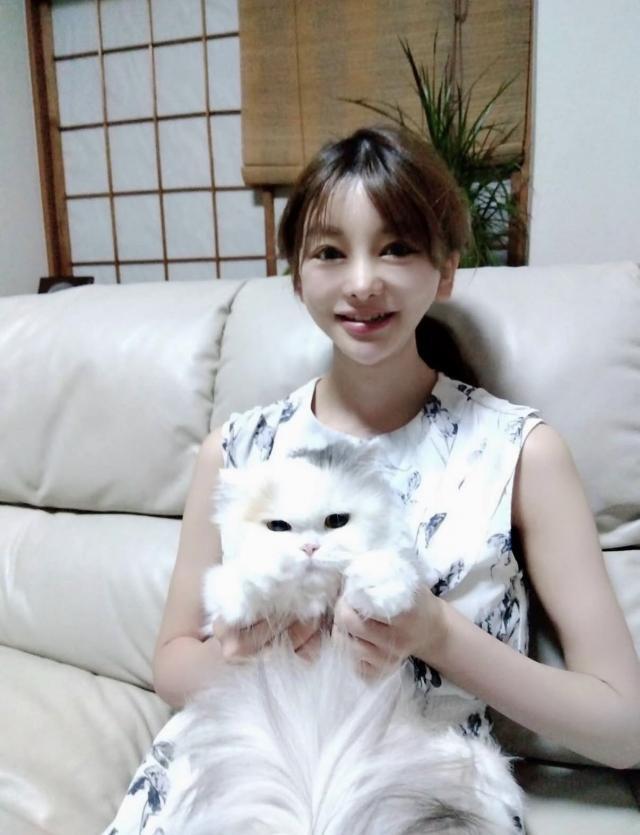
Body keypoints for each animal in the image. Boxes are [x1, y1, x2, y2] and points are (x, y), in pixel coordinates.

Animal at [167, 442, 524, 834]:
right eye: (278, 527)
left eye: (336, 521)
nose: (309, 548)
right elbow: (237, 582)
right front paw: (254, 585)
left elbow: (381, 567)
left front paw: (381, 591)